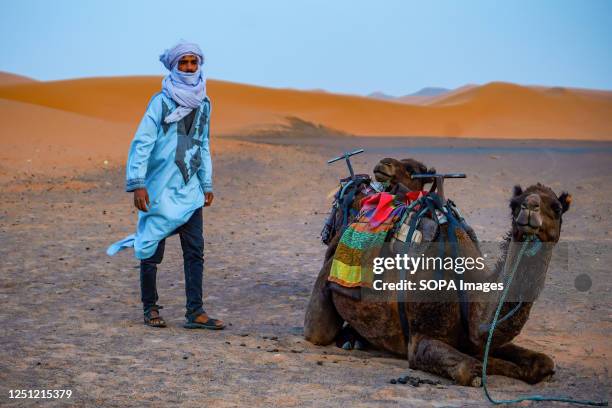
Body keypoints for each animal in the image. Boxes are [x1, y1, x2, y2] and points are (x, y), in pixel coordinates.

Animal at [306, 182, 572, 386]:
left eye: (557, 208)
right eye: (514, 204)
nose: (529, 208)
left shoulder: (478, 339)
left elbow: (543, 362)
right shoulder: (421, 339)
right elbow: (471, 367)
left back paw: (354, 339)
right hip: (326, 274)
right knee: (318, 331)